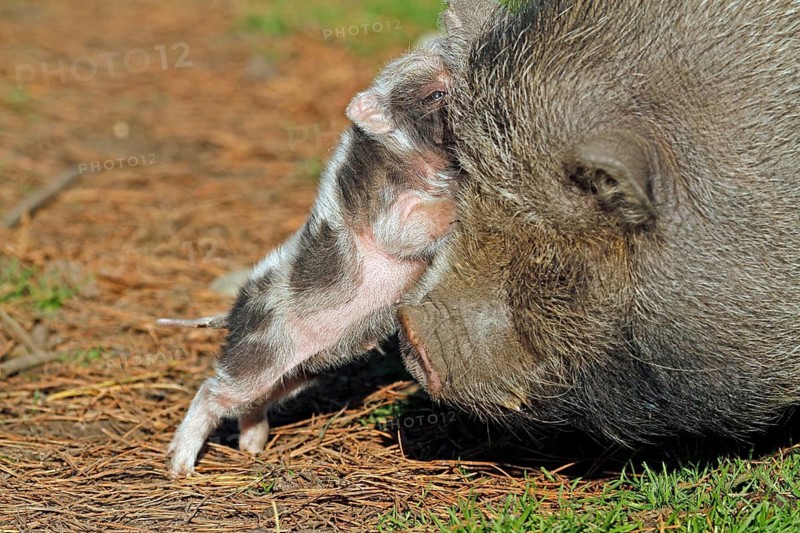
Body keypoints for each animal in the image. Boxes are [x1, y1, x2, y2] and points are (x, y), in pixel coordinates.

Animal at [166, 40, 458, 476]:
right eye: (435, 93)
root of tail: (233, 315)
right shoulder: (390, 219)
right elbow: (419, 222)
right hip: (257, 360)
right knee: (211, 392)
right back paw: (180, 467)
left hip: (298, 373)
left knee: (252, 404)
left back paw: (254, 447)